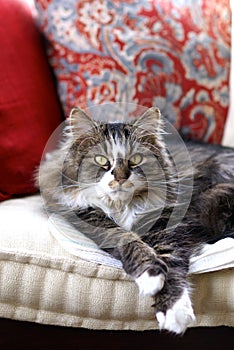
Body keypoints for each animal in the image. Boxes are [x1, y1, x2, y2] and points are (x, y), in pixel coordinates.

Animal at [38, 106, 234, 334]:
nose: (120, 177)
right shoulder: (91, 218)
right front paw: (152, 276)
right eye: (101, 160)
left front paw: (174, 311)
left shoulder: (166, 227)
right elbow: (128, 239)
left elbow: (171, 261)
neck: (121, 206)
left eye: (136, 159)